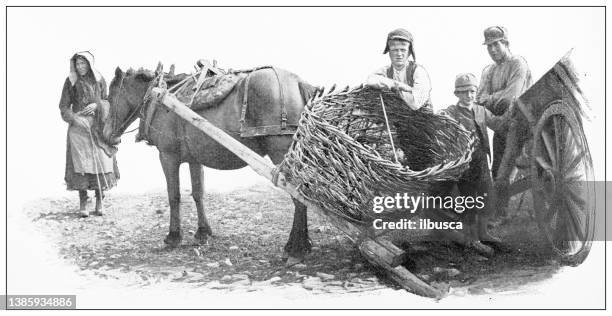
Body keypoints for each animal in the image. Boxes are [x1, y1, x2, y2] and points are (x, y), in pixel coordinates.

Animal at [105, 65, 316, 264]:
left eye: (111, 94)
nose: (107, 135)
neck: (159, 96)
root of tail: (298, 82)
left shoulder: (167, 156)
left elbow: (174, 196)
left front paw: (173, 236)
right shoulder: (194, 159)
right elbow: (198, 194)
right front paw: (202, 232)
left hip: (282, 155)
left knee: (299, 199)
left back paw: (295, 249)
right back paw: (302, 245)